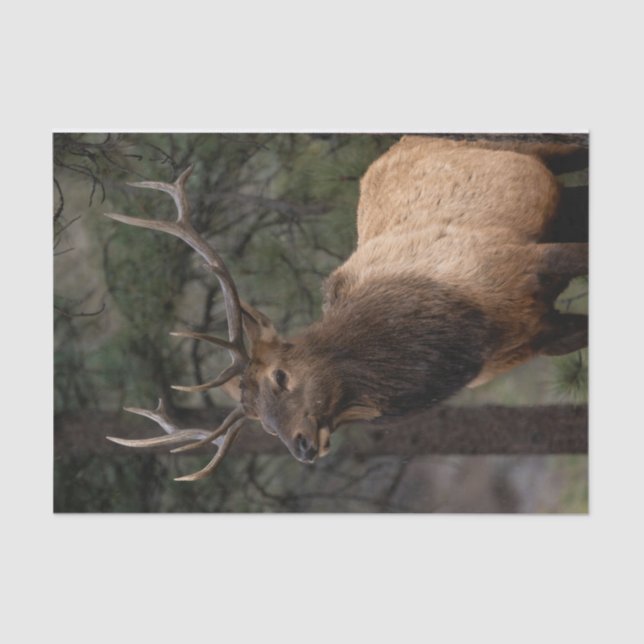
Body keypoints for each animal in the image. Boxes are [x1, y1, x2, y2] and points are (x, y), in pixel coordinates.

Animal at [104, 135, 588, 481]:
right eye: (262, 424)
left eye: (281, 376)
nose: (300, 446)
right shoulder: (539, 335)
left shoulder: (523, 260)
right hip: (563, 205)